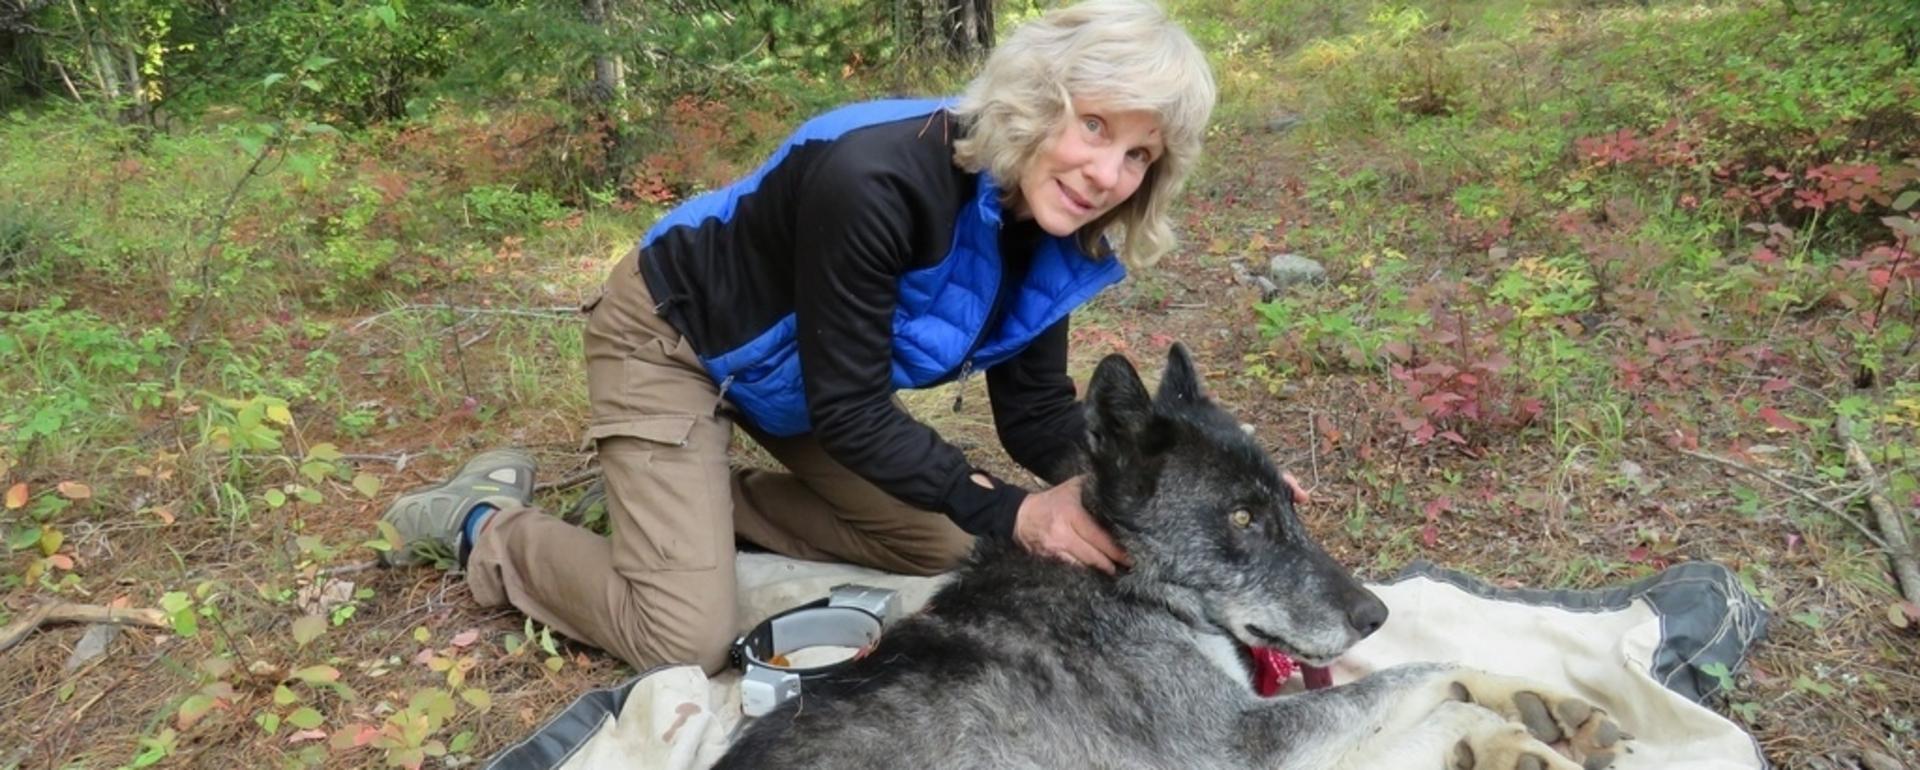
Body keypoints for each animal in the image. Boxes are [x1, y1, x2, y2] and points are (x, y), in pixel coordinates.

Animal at [714, 343, 1628, 768]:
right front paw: (1513, 738)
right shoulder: (1240, 743)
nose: (1375, 613)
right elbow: (1418, 677)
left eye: (1288, 503)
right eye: (1242, 516)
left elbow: (1426, 673)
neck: (1130, 592)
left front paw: (1545, 711)